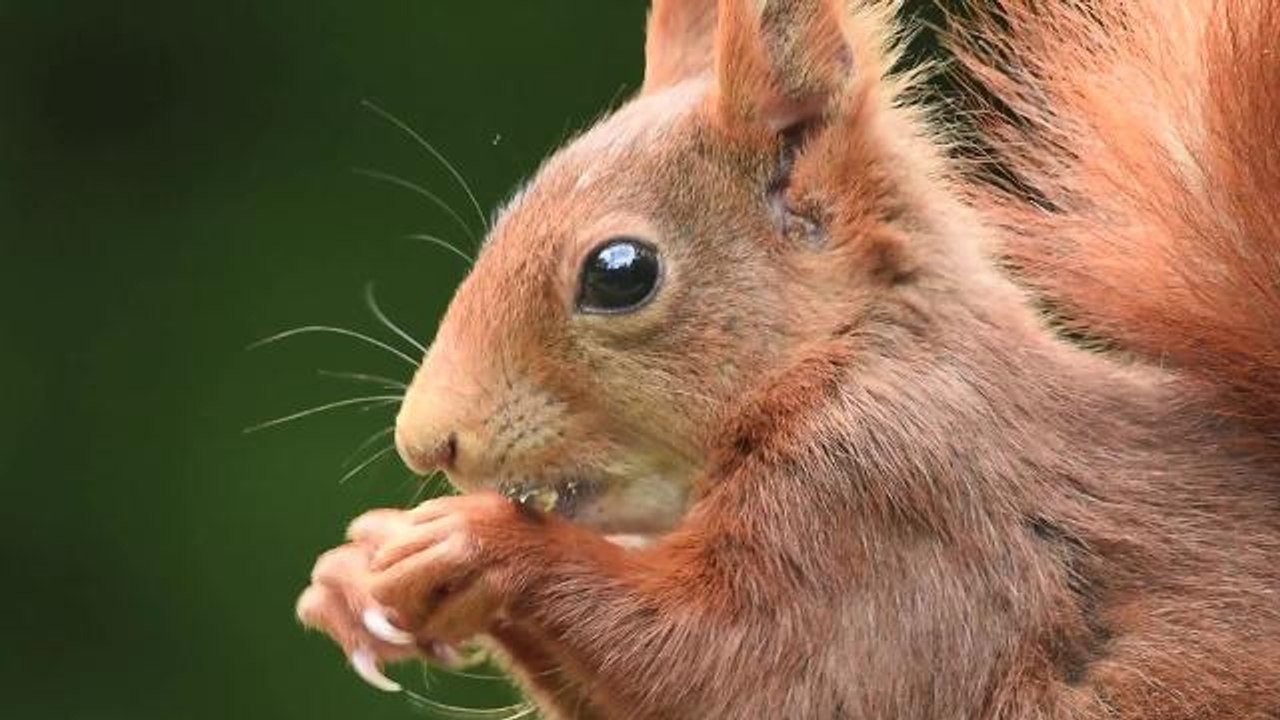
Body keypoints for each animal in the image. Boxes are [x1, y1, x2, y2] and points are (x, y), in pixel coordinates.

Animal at [295, 0, 1280, 718]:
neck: (847, 353)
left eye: (620, 273)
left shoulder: (896, 502)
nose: (428, 442)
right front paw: (354, 570)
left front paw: (472, 541)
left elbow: (743, 669)